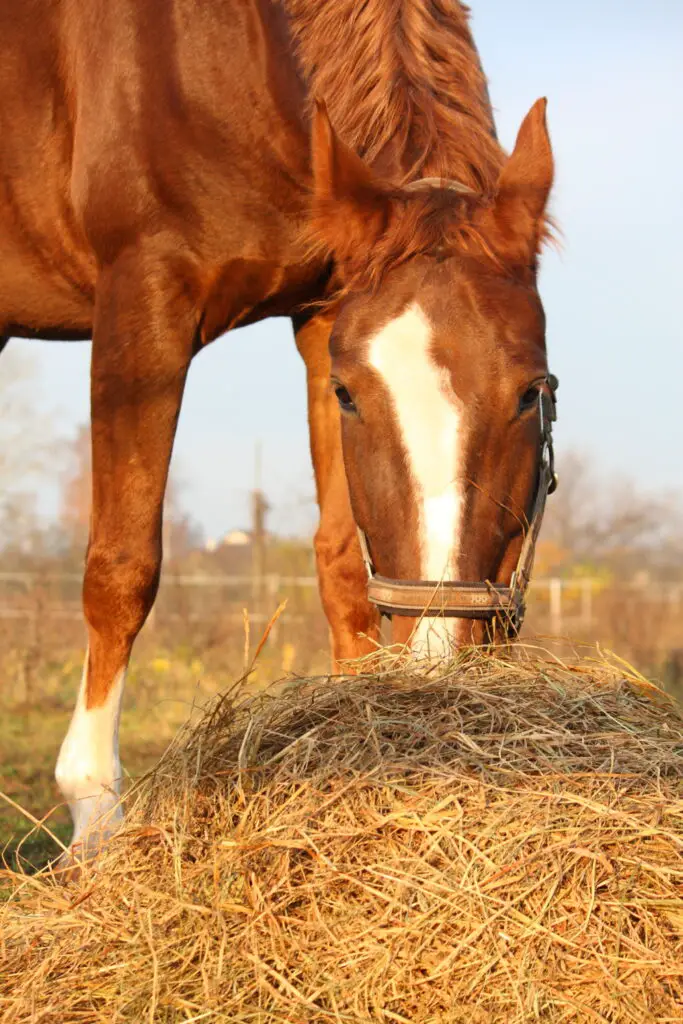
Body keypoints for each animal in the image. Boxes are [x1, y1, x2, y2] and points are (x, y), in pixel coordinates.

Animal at [1, 0, 557, 860]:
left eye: (530, 393)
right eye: (350, 395)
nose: (437, 669)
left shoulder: (321, 313)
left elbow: (341, 564)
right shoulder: (143, 300)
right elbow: (122, 566)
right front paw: (94, 817)